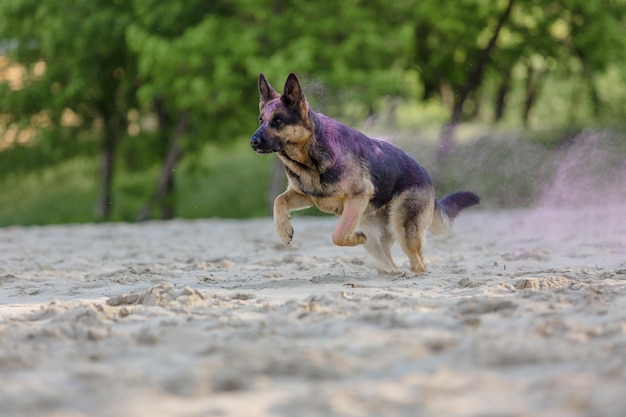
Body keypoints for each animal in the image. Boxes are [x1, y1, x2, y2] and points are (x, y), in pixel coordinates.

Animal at [249, 72, 478, 272]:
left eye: (278, 120)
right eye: (261, 120)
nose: (253, 141)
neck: (310, 158)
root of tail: (426, 176)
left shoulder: (358, 196)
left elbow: (338, 235)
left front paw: (355, 238)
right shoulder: (306, 196)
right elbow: (278, 200)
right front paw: (283, 229)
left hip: (404, 228)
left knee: (418, 263)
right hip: (375, 227)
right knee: (386, 254)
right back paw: (391, 271)